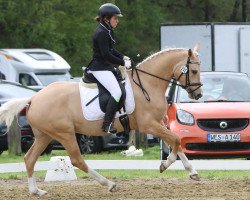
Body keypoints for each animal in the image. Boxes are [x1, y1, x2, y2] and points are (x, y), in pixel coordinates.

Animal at [0, 43, 203, 196]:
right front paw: (165, 164)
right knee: (76, 160)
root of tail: (33, 98)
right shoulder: (148, 125)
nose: (198, 95)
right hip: (65, 134)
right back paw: (109, 184)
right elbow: (175, 140)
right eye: (193, 71)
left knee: (29, 158)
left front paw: (192, 172)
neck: (147, 84)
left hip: (45, 136)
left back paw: (36, 191)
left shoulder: (158, 123)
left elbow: (175, 143)